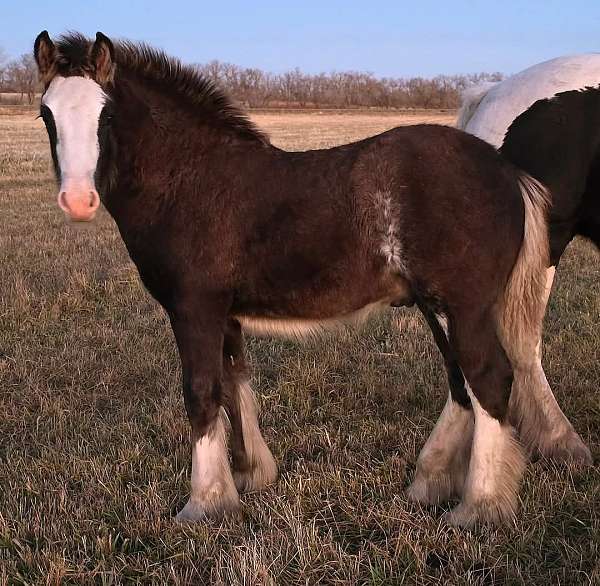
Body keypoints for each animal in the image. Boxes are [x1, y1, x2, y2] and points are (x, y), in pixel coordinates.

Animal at [31, 30, 548, 524]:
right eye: (46, 114)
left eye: (106, 116)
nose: (78, 201)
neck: (188, 180)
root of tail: (507, 171)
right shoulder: (225, 315)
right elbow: (233, 384)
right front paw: (248, 476)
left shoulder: (194, 307)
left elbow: (201, 392)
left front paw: (204, 502)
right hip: (436, 305)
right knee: (462, 383)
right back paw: (430, 483)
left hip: (462, 306)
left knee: (488, 379)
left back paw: (480, 506)